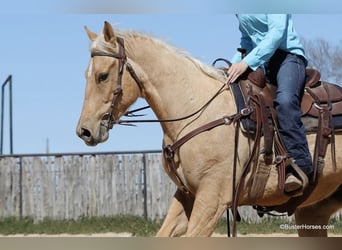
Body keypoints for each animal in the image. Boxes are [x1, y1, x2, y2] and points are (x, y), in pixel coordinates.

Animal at [77, 21, 342, 236]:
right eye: (86, 75)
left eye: (102, 76)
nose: (84, 131)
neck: (198, 108)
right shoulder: (187, 195)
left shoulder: (212, 200)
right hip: (312, 212)